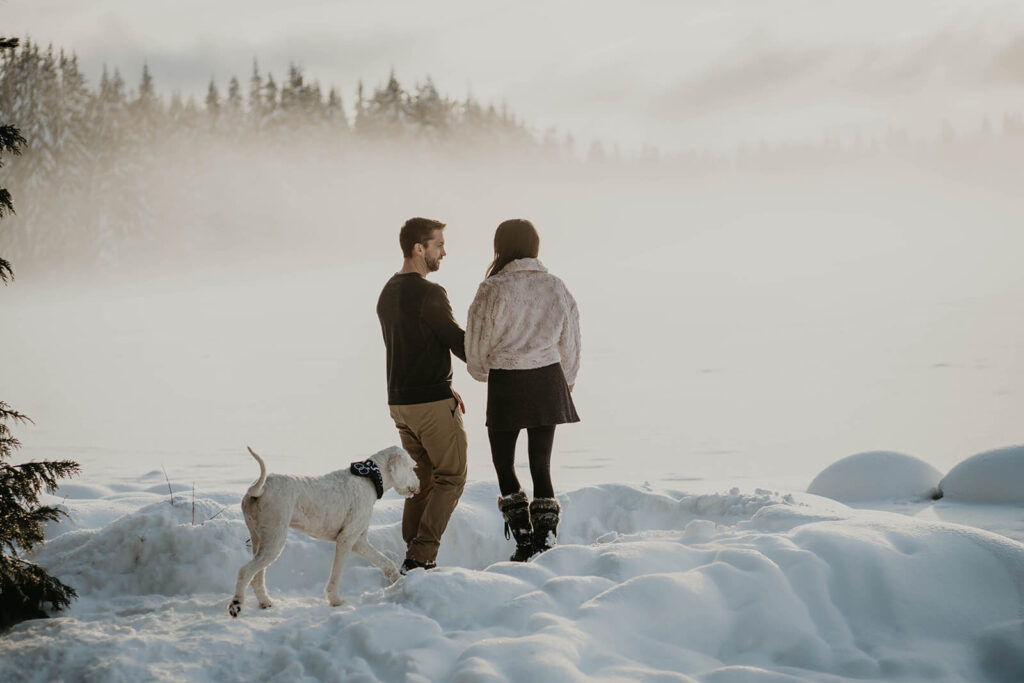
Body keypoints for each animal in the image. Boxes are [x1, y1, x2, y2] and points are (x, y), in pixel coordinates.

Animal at [229, 446, 419, 618]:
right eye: (411, 468)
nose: (419, 486)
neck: (370, 478)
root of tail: (259, 489)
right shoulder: (346, 539)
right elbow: (336, 574)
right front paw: (336, 600)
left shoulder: (359, 541)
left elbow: (386, 562)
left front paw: (399, 582)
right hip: (274, 539)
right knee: (245, 572)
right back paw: (236, 605)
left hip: (259, 538)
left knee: (256, 577)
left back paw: (265, 602)